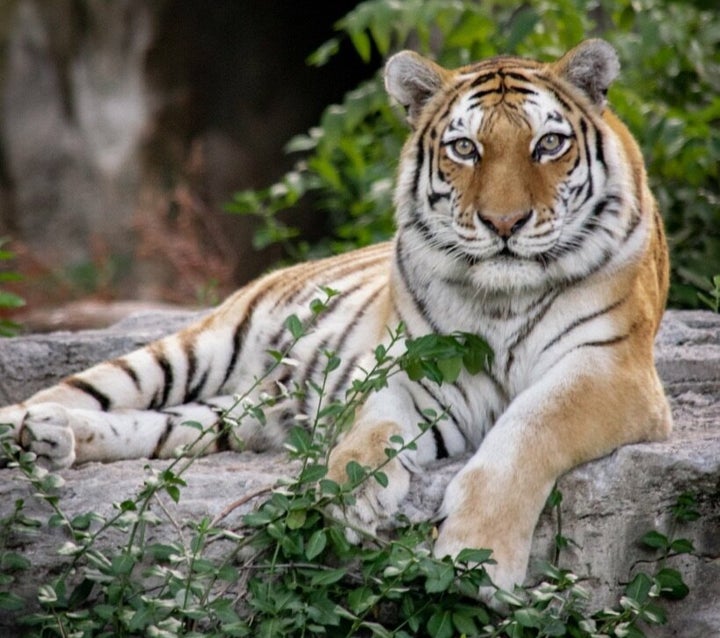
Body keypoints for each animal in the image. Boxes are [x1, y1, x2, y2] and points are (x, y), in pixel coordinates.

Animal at [2, 41, 672, 596]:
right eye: (465, 148)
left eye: (548, 145)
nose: (503, 224)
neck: (500, 299)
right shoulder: (409, 368)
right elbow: (373, 426)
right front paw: (352, 490)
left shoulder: (612, 371)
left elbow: (529, 429)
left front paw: (476, 553)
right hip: (193, 350)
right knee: (77, 390)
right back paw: (31, 428)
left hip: (226, 416)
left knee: (150, 427)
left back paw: (53, 438)